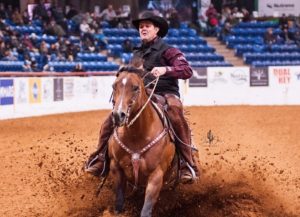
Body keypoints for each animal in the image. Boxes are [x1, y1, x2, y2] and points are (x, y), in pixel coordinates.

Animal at [108, 66, 176, 217]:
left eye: (135, 87)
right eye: (114, 86)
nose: (118, 115)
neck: (136, 135)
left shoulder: (156, 175)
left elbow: (146, 209)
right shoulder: (116, 167)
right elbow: (119, 202)